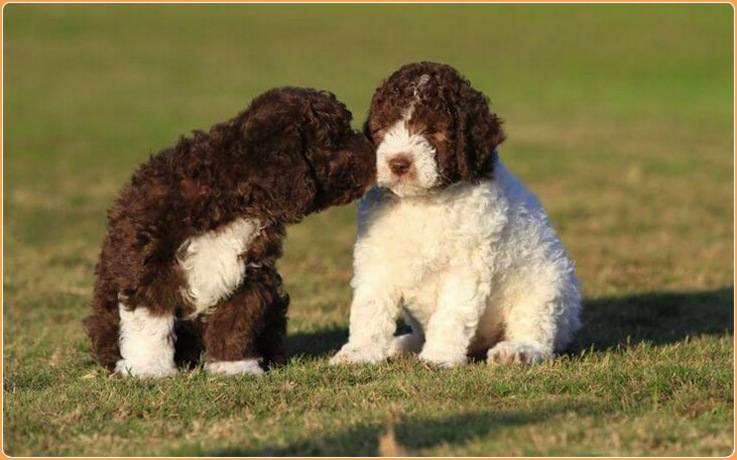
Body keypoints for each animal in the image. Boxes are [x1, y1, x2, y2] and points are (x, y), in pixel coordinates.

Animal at [83, 86, 376, 378]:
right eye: (336, 139)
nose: (374, 152)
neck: (233, 193)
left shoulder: (250, 270)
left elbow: (237, 317)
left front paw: (235, 366)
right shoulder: (150, 260)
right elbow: (150, 318)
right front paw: (148, 368)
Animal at [332, 63, 580, 368]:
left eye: (433, 130)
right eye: (382, 129)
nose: (398, 163)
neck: (422, 201)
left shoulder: (465, 265)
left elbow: (452, 313)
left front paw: (438, 356)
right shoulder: (378, 257)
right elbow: (369, 307)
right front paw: (358, 352)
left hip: (547, 287)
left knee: (539, 334)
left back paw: (517, 351)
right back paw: (400, 346)